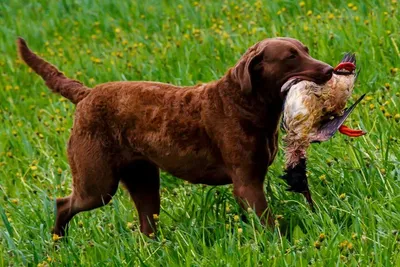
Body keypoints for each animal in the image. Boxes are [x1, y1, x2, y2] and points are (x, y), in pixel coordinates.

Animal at [17, 37, 332, 237]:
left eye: (305, 49)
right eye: (290, 57)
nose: (330, 70)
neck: (243, 103)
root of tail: (86, 94)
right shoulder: (246, 184)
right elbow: (267, 222)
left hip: (143, 180)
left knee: (146, 229)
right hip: (97, 185)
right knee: (62, 204)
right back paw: (58, 245)